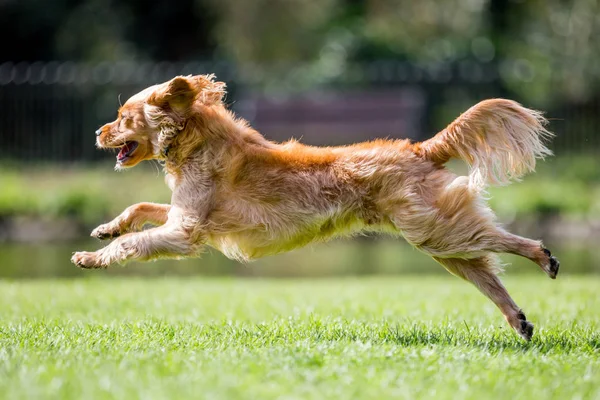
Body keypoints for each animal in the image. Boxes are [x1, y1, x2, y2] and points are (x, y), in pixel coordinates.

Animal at [72, 73, 560, 340]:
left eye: (123, 117)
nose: (95, 131)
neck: (196, 138)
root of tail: (420, 148)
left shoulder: (185, 230)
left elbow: (134, 244)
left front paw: (92, 256)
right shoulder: (180, 215)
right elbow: (138, 207)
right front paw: (106, 228)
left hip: (436, 230)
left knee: (505, 240)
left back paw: (544, 257)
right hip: (441, 239)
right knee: (487, 273)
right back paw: (519, 320)